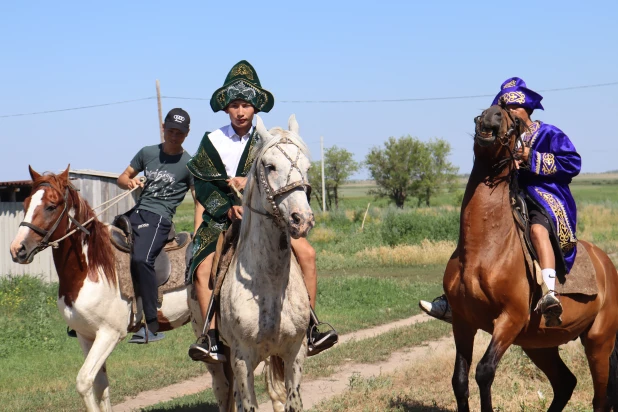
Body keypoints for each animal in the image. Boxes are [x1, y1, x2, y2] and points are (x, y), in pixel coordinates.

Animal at [9, 167, 202, 412]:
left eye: (51, 206)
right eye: (25, 203)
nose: (18, 250)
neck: (92, 269)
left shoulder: (109, 335)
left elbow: (83, 382)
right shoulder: (85, 335)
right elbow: (100, 385)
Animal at [442, 104, 616, 412]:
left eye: (513, 120)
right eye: (485, 110)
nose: (491, 115)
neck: (482, 249)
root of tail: (606, 263)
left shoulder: (509, 319)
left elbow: (484, 372)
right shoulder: (463, 322)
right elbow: (460, 381)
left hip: (599, 342)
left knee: (600, 398)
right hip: (539, 345)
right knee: (565, 383)